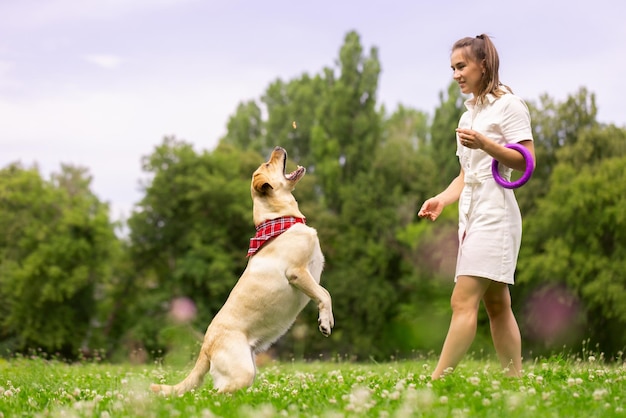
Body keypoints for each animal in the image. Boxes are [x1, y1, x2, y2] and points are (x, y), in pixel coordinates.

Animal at [149, 147, 334, 396]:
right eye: (268, 164)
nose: (278, 148)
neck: (279, 220)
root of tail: (205, 347)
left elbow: (325, 291)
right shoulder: (297, 272)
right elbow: (324, 294)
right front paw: (325, 323)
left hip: (248, 366)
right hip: (242, 369)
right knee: (213, 394)